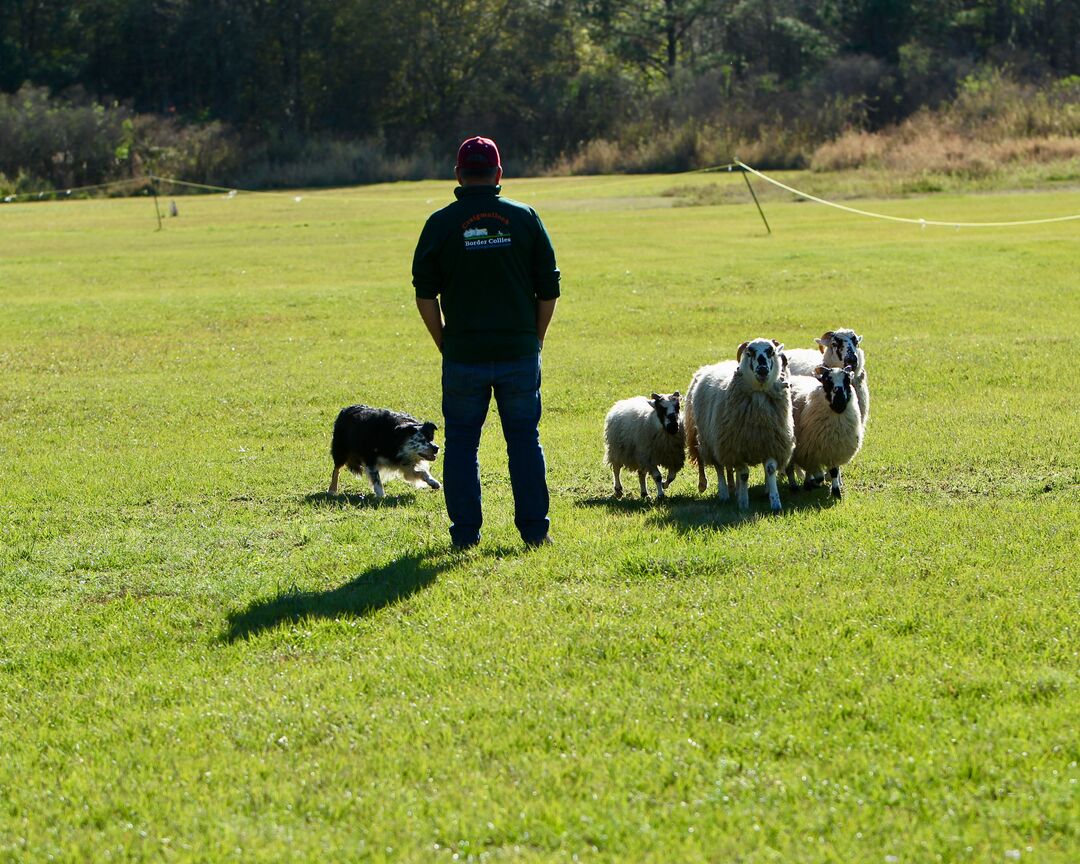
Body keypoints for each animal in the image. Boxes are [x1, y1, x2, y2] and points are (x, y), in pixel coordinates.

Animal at [781, 365, 864, 498]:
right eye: (827, 381)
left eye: (847, 380)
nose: (839, 401)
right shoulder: (808, 451)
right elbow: (817, 473)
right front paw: (816, 481)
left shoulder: (834, 450)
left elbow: (834, 471)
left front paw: (836, 491)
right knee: (790, 467)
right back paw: (795, 486)